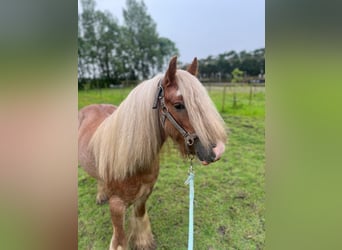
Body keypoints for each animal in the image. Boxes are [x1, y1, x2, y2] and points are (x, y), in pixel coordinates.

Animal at [78, 56, 227, 250]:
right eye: (178, 105)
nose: (218, 150)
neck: (132, 160)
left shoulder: (145, 194)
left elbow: (140, 216)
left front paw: (143, 242)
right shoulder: (116, 205)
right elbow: (119, 238)